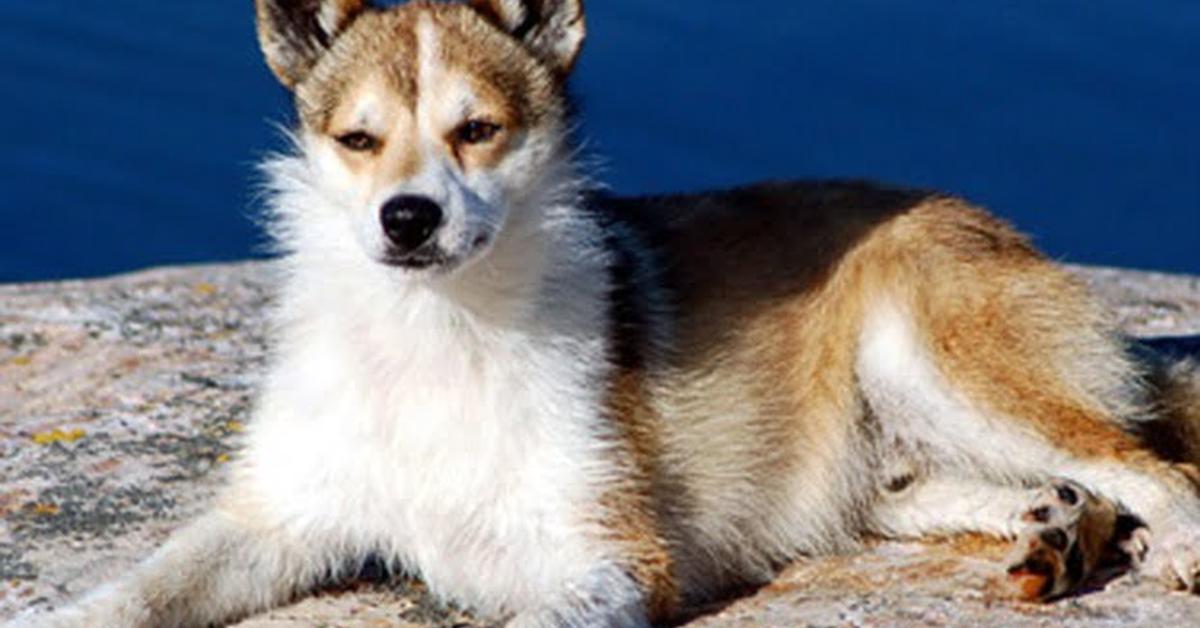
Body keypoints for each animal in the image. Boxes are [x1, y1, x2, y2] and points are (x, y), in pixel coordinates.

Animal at [11, 0, 1200, 624]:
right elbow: (144, 586)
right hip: (887, 474)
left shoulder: (610, 560)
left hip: (934, 361)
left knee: (1153, 467)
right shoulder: (280, 519)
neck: (436, 336)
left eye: (478, 130)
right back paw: (1053, 534)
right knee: (1060, 481)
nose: (408, 218)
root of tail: (999, 226)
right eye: (357, 139)